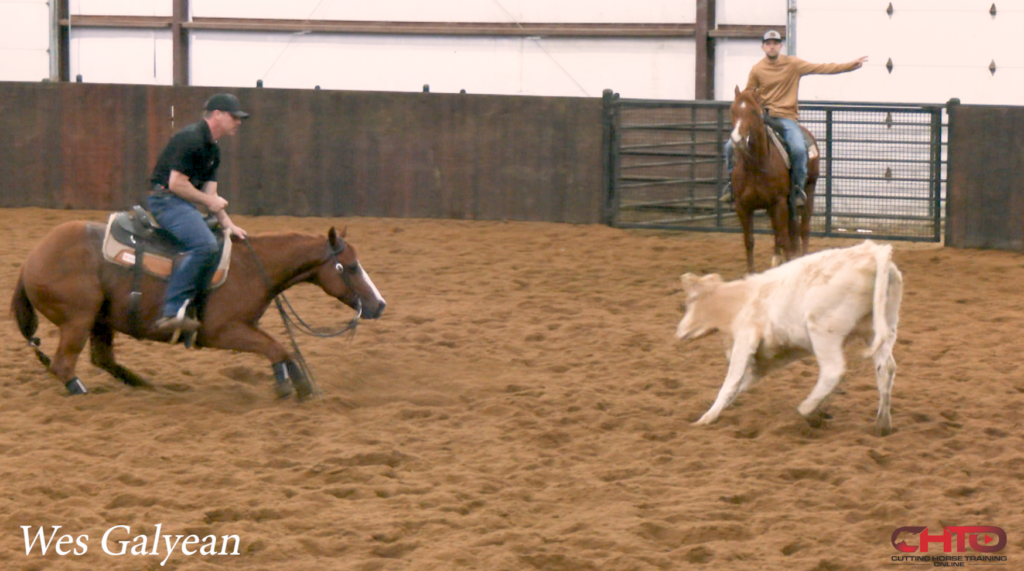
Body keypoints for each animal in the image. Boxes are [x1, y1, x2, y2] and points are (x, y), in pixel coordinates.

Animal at [11, 222, 387, 401]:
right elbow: (276, 347)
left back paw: (148, 387)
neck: (251, 267)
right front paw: (290, 387)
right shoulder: (222, 331)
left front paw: (300, 385)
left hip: (101, 320)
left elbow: (281, 348)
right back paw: (81, 391)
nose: (379, 304)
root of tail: (30, 260)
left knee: (104, 359)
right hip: (78, 318)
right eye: (351, 267)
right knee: (63, 364)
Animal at [671, 240, 905, 433]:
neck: (741, 299)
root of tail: (873, 252)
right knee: (886, 368)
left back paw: (805, 410)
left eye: (688, 302)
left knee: (833, 371)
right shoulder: (768, 356)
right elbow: (743, 382)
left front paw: (705, 418)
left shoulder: (745, 339)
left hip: (823, 331)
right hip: (878, 329)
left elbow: (731, 382)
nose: (678, 331)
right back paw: (882, 423)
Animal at [724, 87, 819, 276]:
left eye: (754, 111)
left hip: (809, 191)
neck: (755, 166)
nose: (737, 140)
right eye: (732, 110)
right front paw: (751, 273)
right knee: (779, 231)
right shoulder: (743, 206)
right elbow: (749, 240)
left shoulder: (780, 202)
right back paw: (776, 260)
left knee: (803, 230)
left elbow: (784, 239)